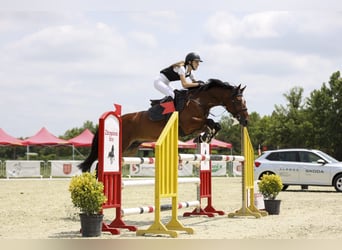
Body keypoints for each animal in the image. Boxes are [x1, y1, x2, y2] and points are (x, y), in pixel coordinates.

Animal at [77, 79, 248, 173]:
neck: (199, 101)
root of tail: (119, 118)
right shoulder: (188, 124)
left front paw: (205, 137)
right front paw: (206, 135)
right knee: (99, 165)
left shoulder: (195, 125)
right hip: (121, 145)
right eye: (238, 101)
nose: (246, 120)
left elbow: (213, 124)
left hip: (131, 148)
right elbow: (210, 122)